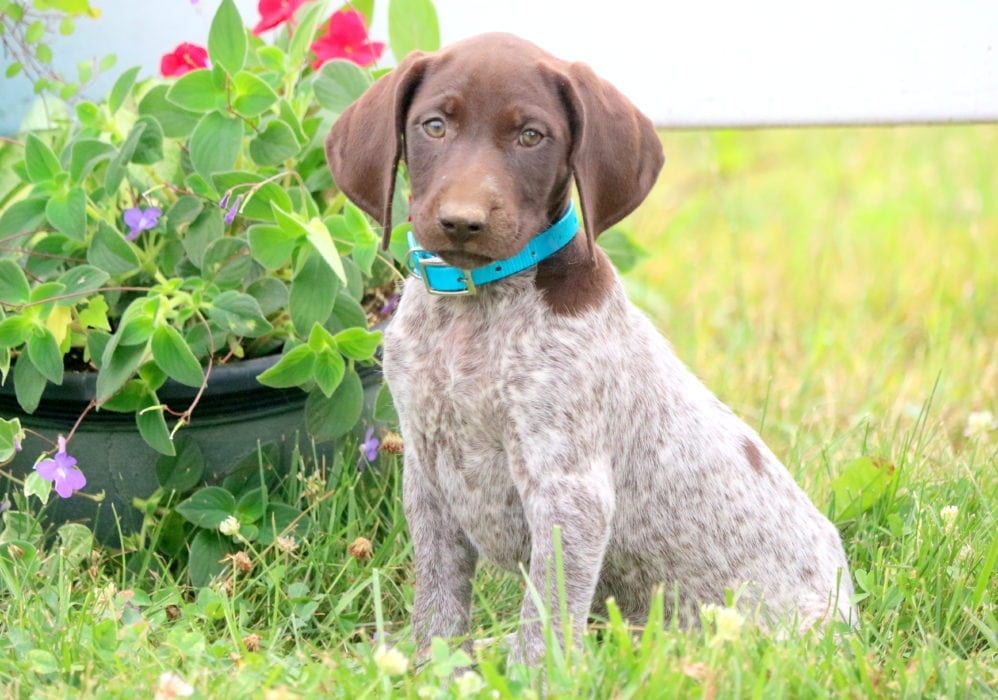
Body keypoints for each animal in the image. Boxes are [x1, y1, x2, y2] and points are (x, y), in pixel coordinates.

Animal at [326, 31, 852, 660]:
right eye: (434, 126)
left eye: (531, 136)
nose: (461, 222)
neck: (474, 310)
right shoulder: (429, 476)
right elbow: (439, 602)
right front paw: (434, 666)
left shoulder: (569, 492)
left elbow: (545, 623)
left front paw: (527, 674)